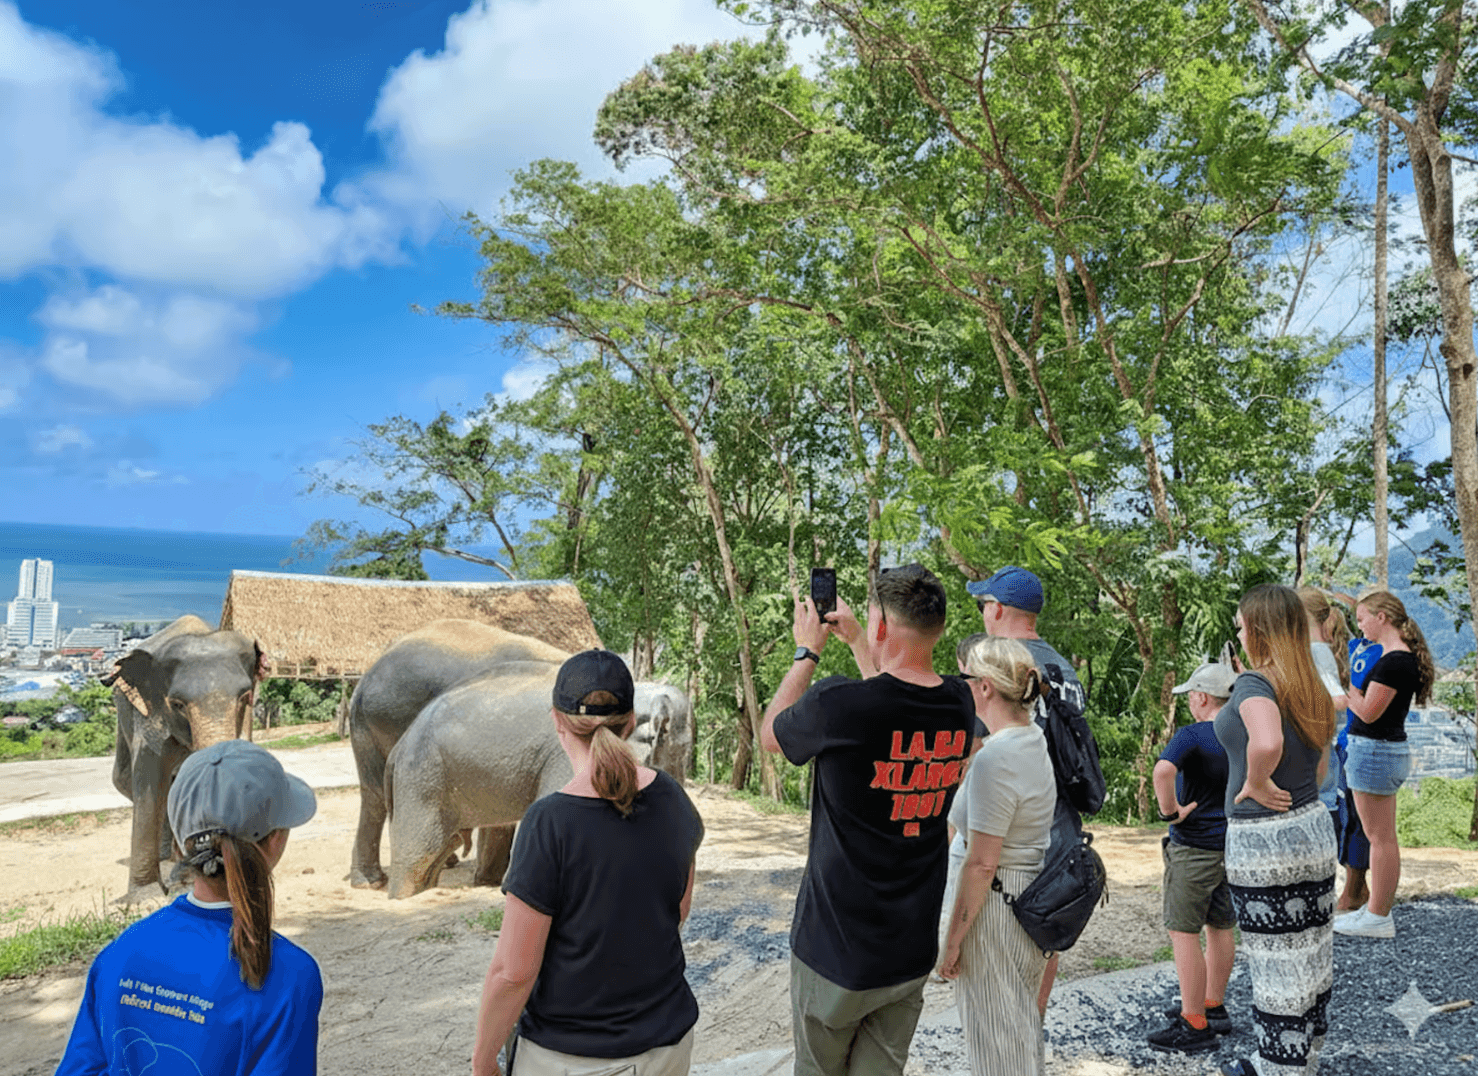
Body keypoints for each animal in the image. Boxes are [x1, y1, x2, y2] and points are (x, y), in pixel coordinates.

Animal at [102, 615, 262, 897]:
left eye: (244, 697)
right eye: (177, 704)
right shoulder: (149, 716)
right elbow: (149, 781)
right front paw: (146, 897)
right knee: (124, 781)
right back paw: (169, 861)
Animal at [382, 661, 694, 898]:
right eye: (682, 753)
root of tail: (399, 746)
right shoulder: (565, 759)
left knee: (442, 848)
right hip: (421, 779)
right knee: (420, 852)